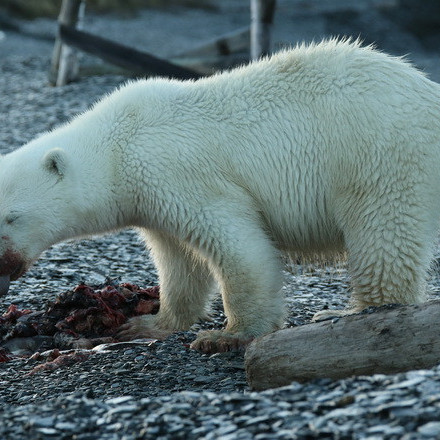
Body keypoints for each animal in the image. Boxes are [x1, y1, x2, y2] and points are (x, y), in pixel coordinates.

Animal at [0, 39, 440, 352]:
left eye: (12, 217)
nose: (3, 268)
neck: (116, 145)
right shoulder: (152, 202)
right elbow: (179, 263)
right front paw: (149, 323)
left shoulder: (176, 172)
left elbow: (239, 246)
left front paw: (227, 335)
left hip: (378, 154)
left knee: (382, 231)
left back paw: (351, 310)